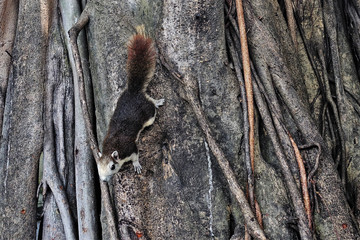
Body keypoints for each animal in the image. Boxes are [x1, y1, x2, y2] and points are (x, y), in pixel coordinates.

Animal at [95, 28, 163, 182]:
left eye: (112, 167)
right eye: (97, 167)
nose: (103, 180)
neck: (111, 147)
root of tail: (133, 91)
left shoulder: (130, 148)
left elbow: (136, 156)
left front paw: (136, 165)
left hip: (148, 115)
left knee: (151, 105)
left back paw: (156, 102)